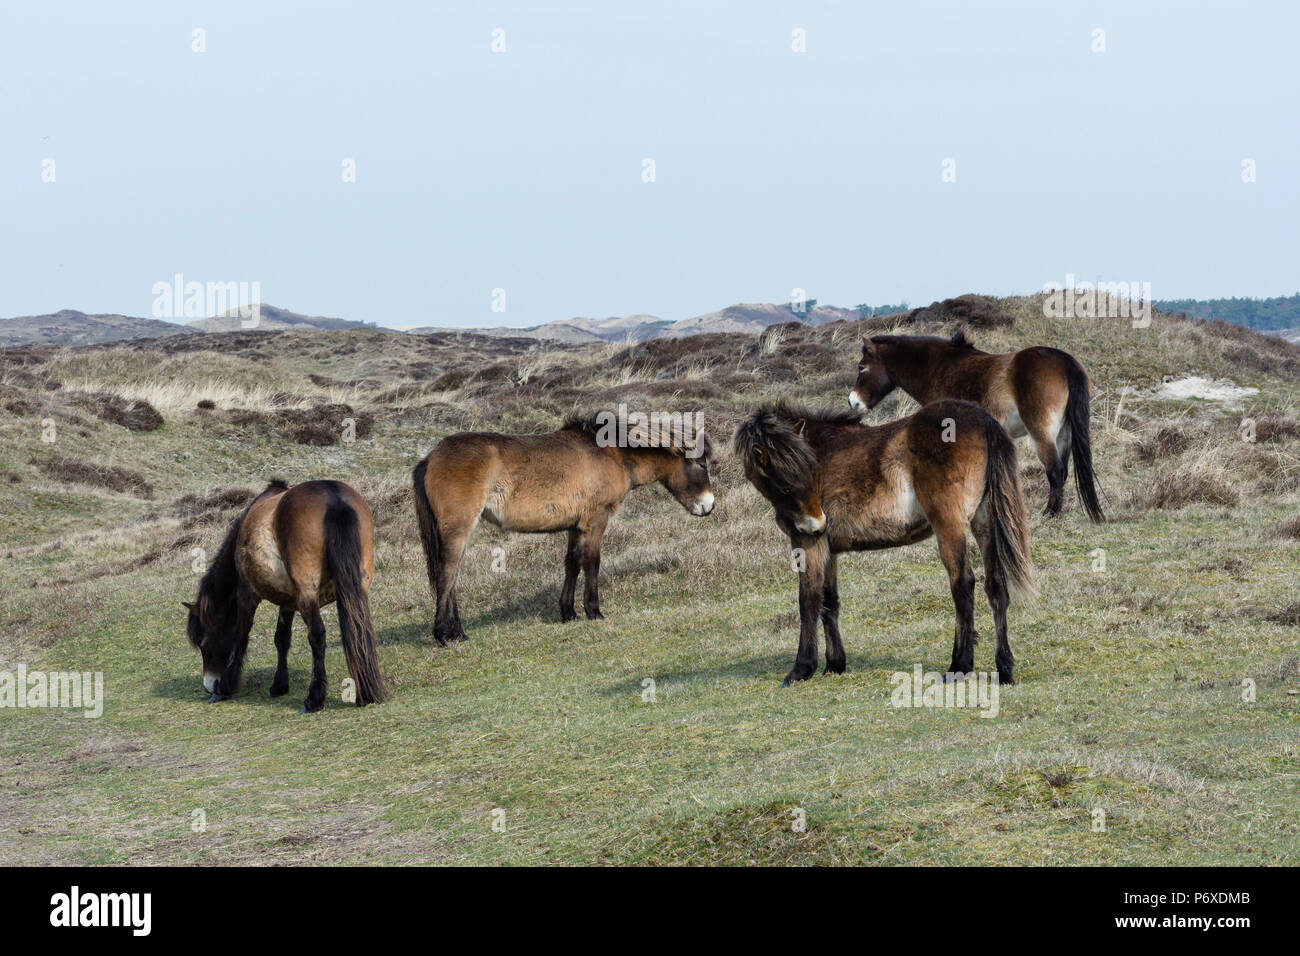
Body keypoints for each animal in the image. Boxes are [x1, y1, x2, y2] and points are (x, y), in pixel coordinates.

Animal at [184, 478, 384, 712]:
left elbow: (241, 635)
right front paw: (279, 685)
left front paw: (225, 687)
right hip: (356, 589)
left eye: (202, 643)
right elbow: (282, 638)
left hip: (308, 595)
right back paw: (365, 693)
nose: (209, 685)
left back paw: (314, 699)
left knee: (317, 636)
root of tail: (333, 496)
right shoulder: (288, 602)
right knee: (359, 628)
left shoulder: (246, 594)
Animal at [413, 411, 717, 642]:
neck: (613, 454)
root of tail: (430, 457)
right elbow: (592, 563)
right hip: (458, 529)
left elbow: (572, 562)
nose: (709, 505)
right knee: (447, 573)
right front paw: (594, 611)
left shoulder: (575, 526)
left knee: (451, 576)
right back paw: (444, 634)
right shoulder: (596, 521)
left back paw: (457, 632)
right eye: (701, 464)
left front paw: (568, 612)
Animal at [743, 403, 1034, 686]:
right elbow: (829, 600)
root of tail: (984, 421)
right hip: (984, 521)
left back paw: (959, 666)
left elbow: (808, 600)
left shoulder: (807, 541)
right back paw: (1004, 668)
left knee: (963, 584)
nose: (818, 521)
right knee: (995, 586)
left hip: (949, 524)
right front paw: (834, 664)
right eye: (785, 482)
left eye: (805, 472)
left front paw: (801, 669)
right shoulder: (829, 549)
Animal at [852, 329, 1107, 522]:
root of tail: (1066, 363)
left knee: (1055, 471)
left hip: (1042, 434)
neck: (939, 367)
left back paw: (1050, 515)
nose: (853, 402)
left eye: (862, 367)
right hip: (1064, 434)